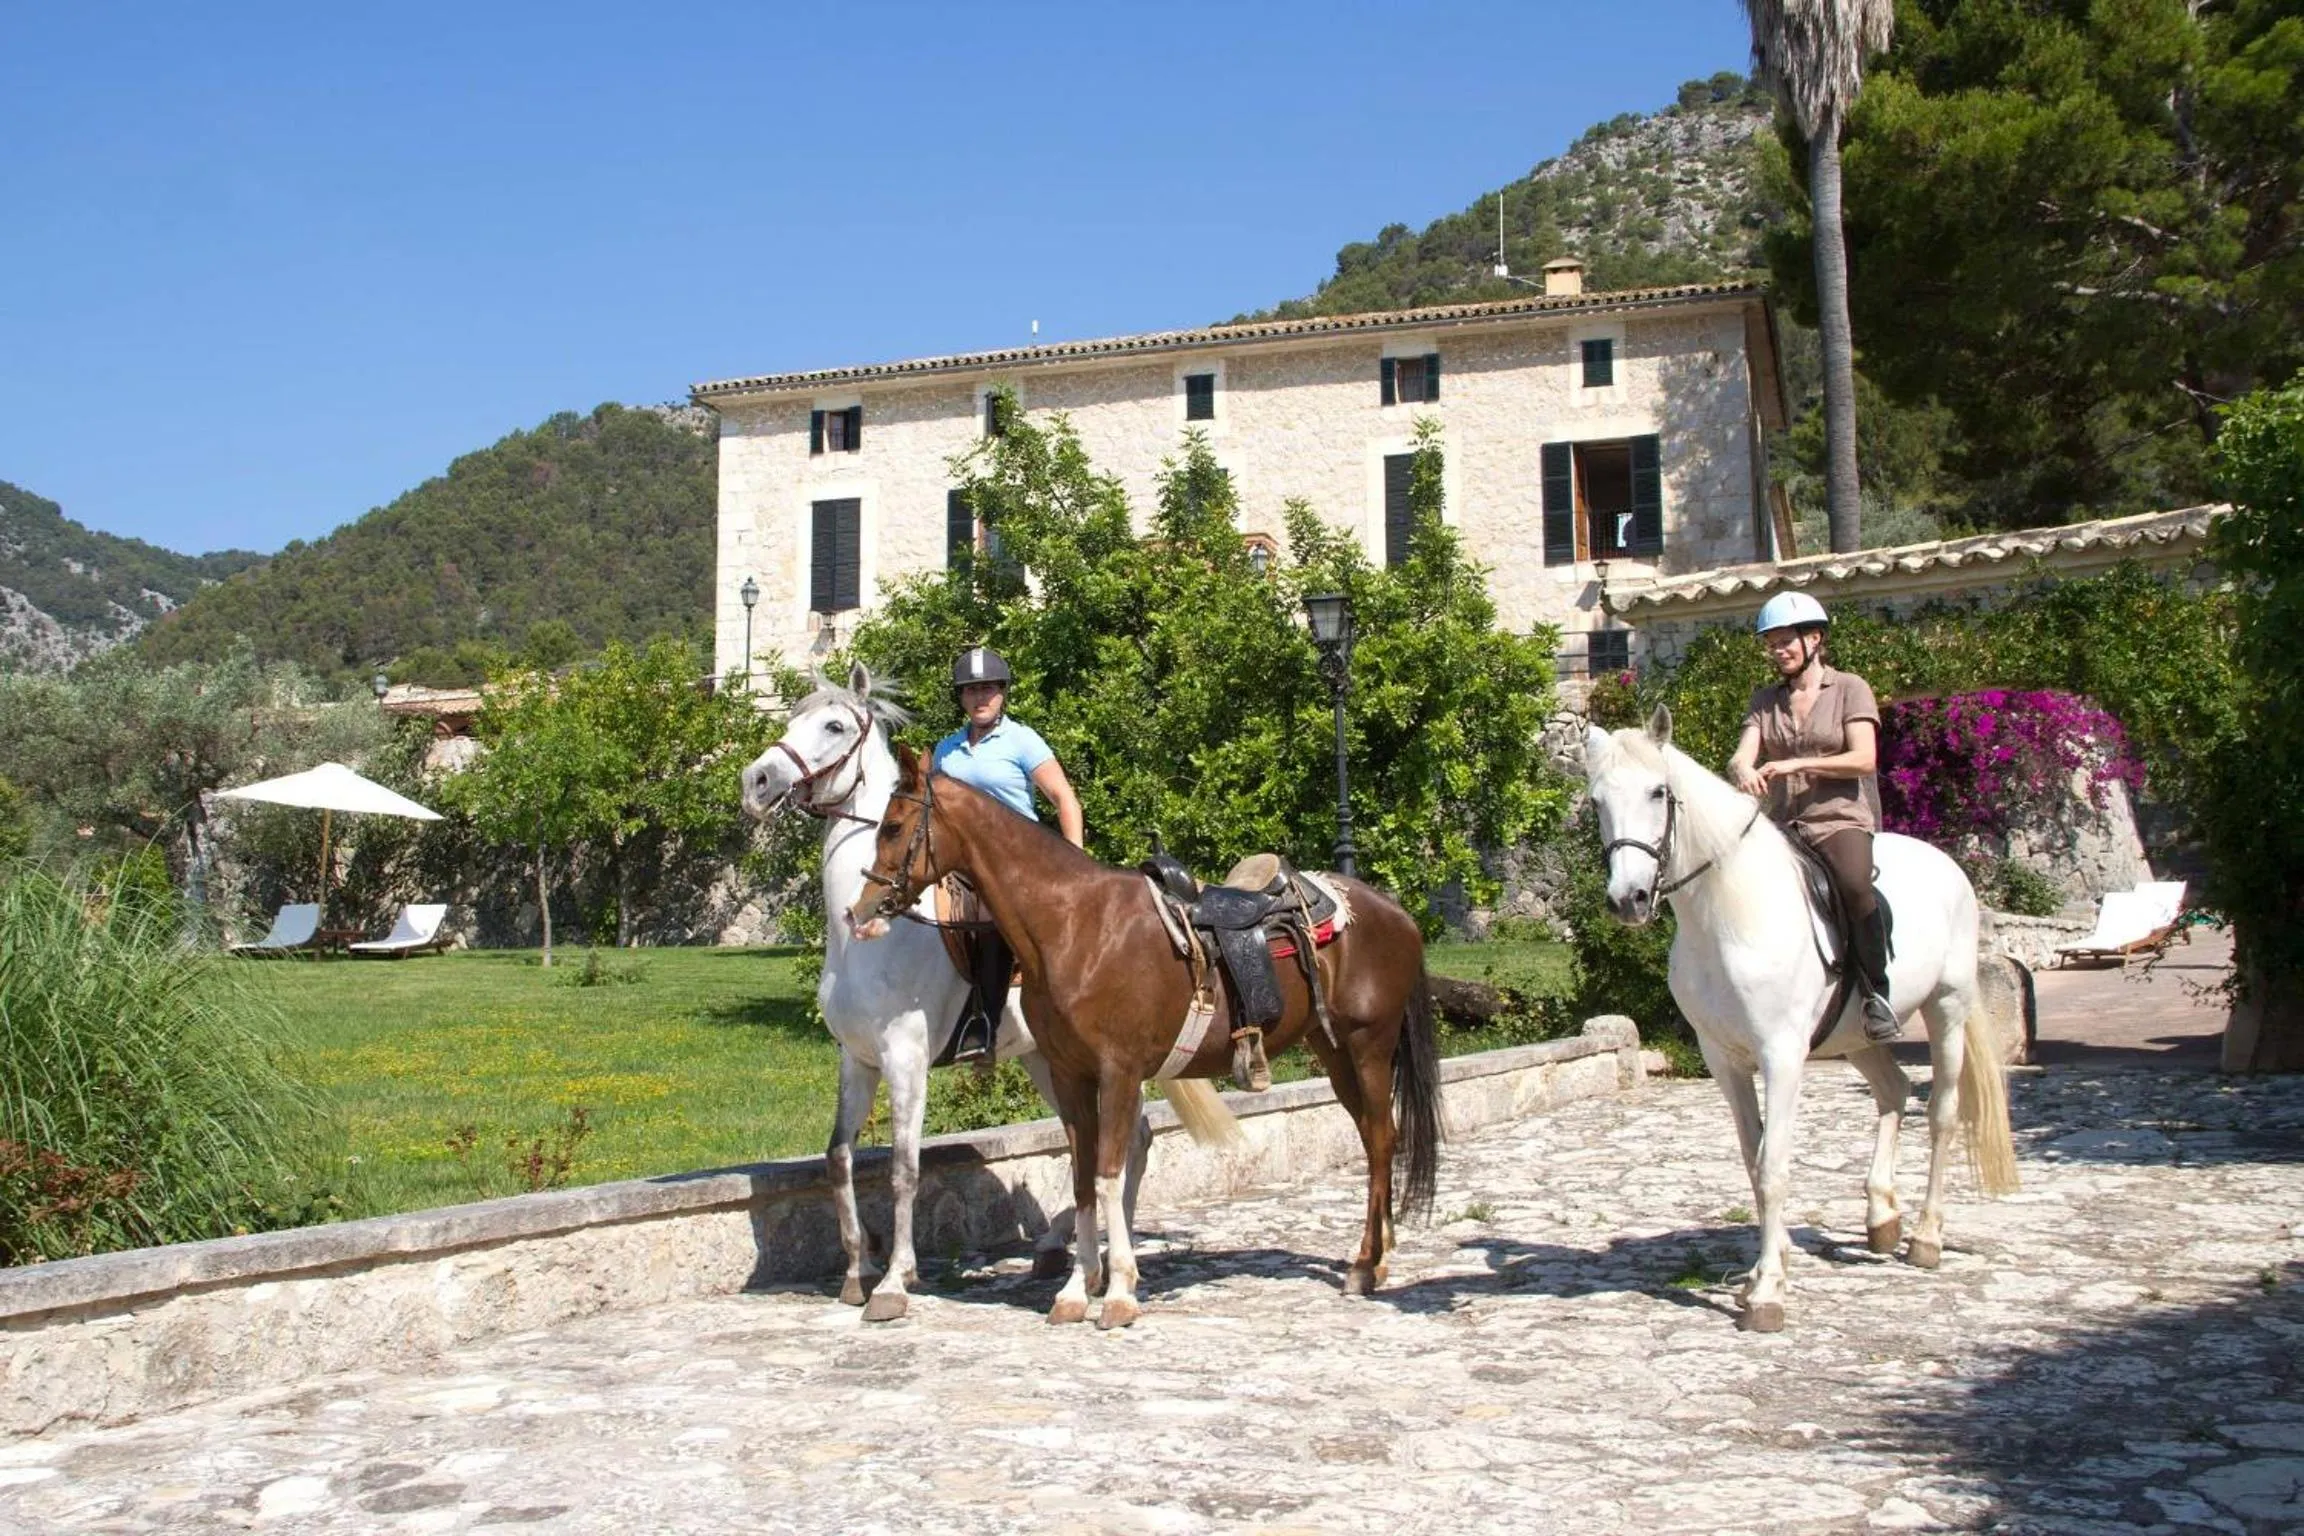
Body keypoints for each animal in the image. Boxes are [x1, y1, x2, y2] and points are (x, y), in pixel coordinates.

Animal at [740, 664, 1239, 1322]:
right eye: (792, 715)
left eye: (834, 725)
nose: (756, 781)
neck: (867, 937)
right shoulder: (857, 1059)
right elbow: (839, 1157)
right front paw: (856, 1270)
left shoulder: (905, 1058)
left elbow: (903, 1168)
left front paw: (894, 1282)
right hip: (1048, 1061)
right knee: (1119, 1143)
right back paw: (1075, 1256)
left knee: (1126, 1143)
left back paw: (1103, 1261)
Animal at [847, 741, 1443, 1329]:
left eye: (894, 826)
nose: (861, 910)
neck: (1074, 925)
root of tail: (1394, 911)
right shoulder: (1069, 1074)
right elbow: (1082, 1177)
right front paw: (1073, 1291)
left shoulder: (1120, 1072)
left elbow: (1110, 1174)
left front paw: (1118, 1293)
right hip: (1334, 1050)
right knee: (1371, 1135)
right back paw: (1377, 1258)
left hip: (1369, 1046)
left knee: (1382, 1139)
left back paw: (1365, 1266)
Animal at [1582, 707, 2018, 1332]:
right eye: (1595, 802)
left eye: (1658, 792)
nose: (1628, 900)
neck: (1728, 915)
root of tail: (1947, 866)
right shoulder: (1723, 1060)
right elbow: (1752, 1159)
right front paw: (1770, 1265)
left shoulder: (1781, 1056)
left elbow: (1773, 1167)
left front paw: (1767, 1292)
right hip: (1857, 1035)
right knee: (1895, 1090)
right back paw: (1882, 1217)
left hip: (1947, 1009)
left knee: (1941, 1113)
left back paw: (1926, 1237)